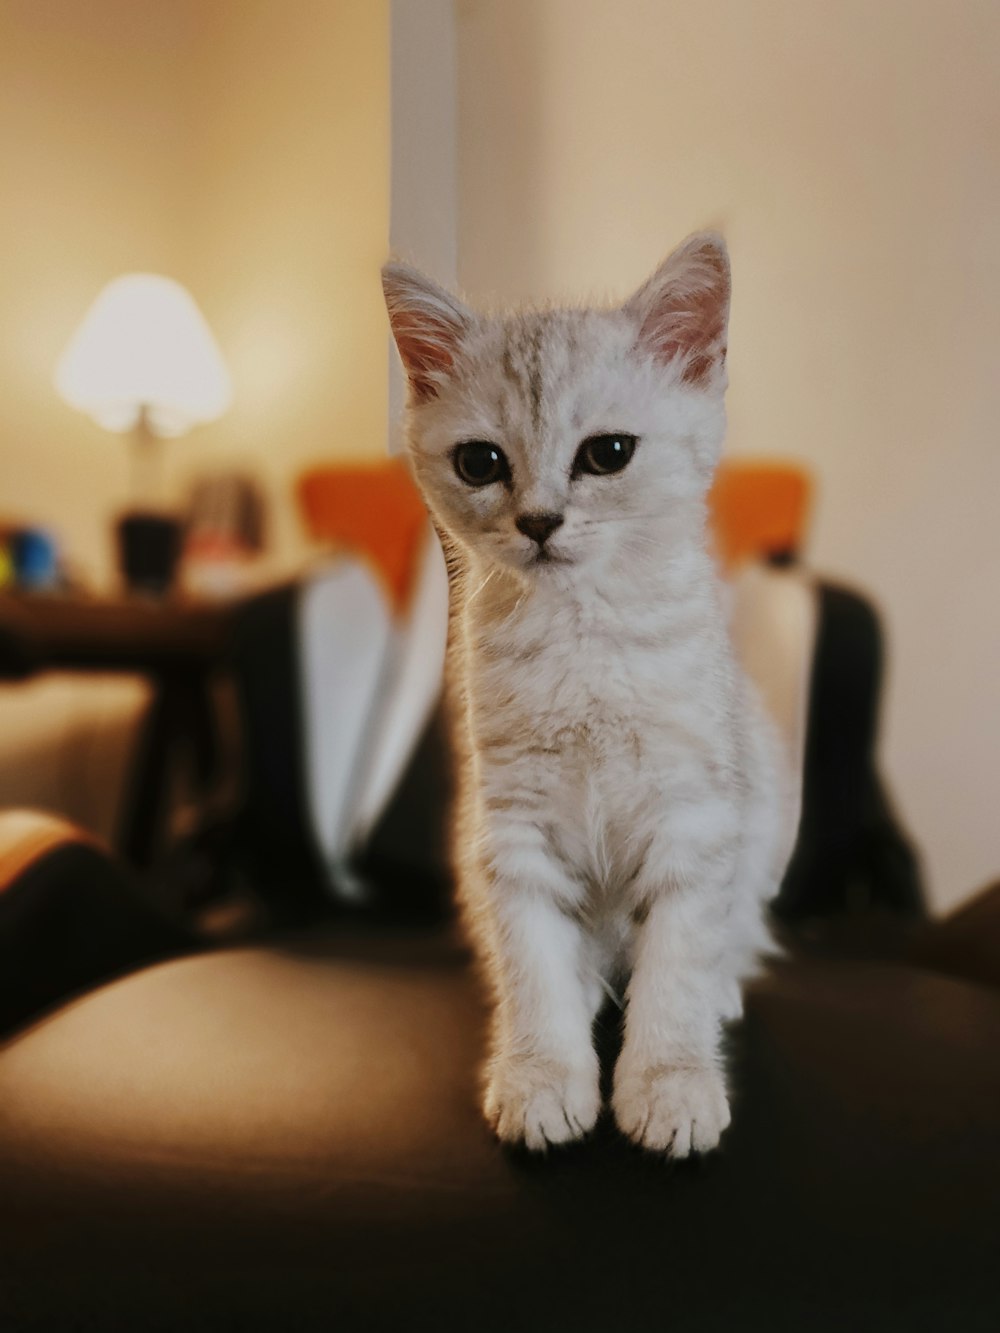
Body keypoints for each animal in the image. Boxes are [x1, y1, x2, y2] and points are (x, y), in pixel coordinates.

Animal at [384, 234, 800, 1151]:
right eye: (480, 462)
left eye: (607, 453)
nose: (540, 521)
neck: (581, 636)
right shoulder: (510, 831)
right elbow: (532, 963)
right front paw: (541, 1074)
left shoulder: (697, 818)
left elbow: (677, 967)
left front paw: (671, 1083)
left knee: (726, 938)